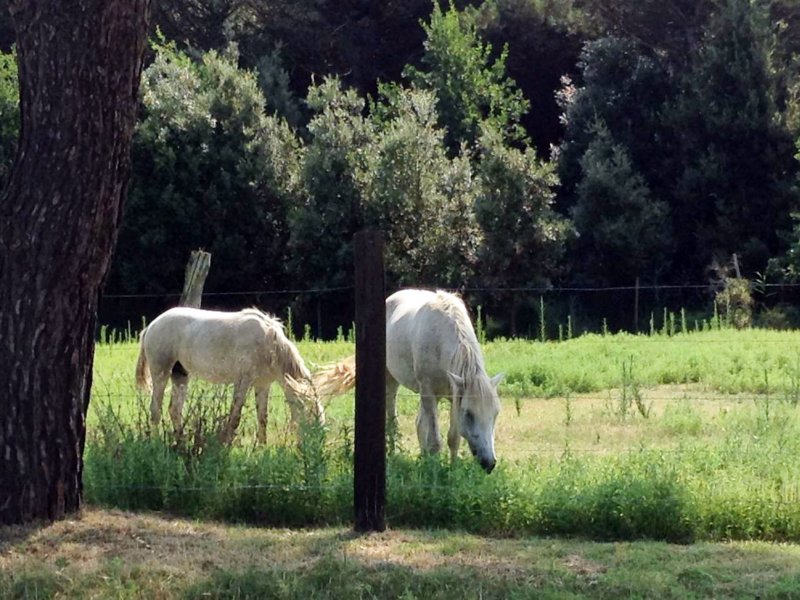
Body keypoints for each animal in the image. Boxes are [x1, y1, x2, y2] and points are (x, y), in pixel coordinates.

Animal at [135, 308, 324, 442]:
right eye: (312, 416)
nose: (318, 447)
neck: (269, 343)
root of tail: (151, 326)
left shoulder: (262, 384)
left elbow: (262, 418)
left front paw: (262, 448)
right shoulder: (243, 381)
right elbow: (234, 417)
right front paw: (226, 444)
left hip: (180, 375)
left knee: (175, 409)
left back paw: (181, 442)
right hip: (161, 373)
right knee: (155, 410)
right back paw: (157, 444)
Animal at [316, 288, 504, 472]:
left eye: (495, 413)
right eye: (469, 414)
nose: (489, 463)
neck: (440, 338)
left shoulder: (454, 395)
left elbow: (453, 438)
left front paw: (452, 469)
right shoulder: (429, 391)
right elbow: (435, 441)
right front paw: (434, 472)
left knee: (419, 424)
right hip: (393, 383)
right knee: (393, 422)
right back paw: (393, 456)